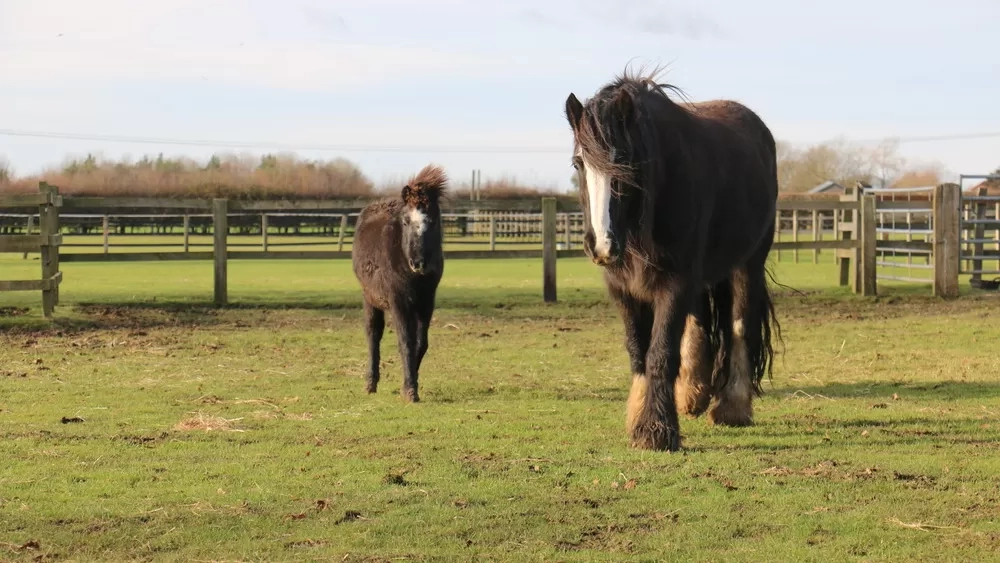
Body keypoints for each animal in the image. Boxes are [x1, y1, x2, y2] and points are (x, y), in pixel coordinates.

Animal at [350, 165, 448, 404]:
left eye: (433, 221)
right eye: (405, 221)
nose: (418, 262)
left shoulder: (426, 302)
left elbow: (420, 343)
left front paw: (409, 384)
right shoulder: (399, 301)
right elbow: (405, 341)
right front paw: (410, 390)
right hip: (370, 299)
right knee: (373, 335)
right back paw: (370, 383)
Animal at [564, 68, 780, 452]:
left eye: (625, 162)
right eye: (579, 163)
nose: (601, 245)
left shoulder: (675, 282)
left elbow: (661, 352)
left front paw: (656, 430)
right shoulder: (622, 288)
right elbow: (638, 350)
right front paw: (640, 416)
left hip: (748, 264)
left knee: (740, 325)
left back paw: (732, 406)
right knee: (700, 321)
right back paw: (692, 394)